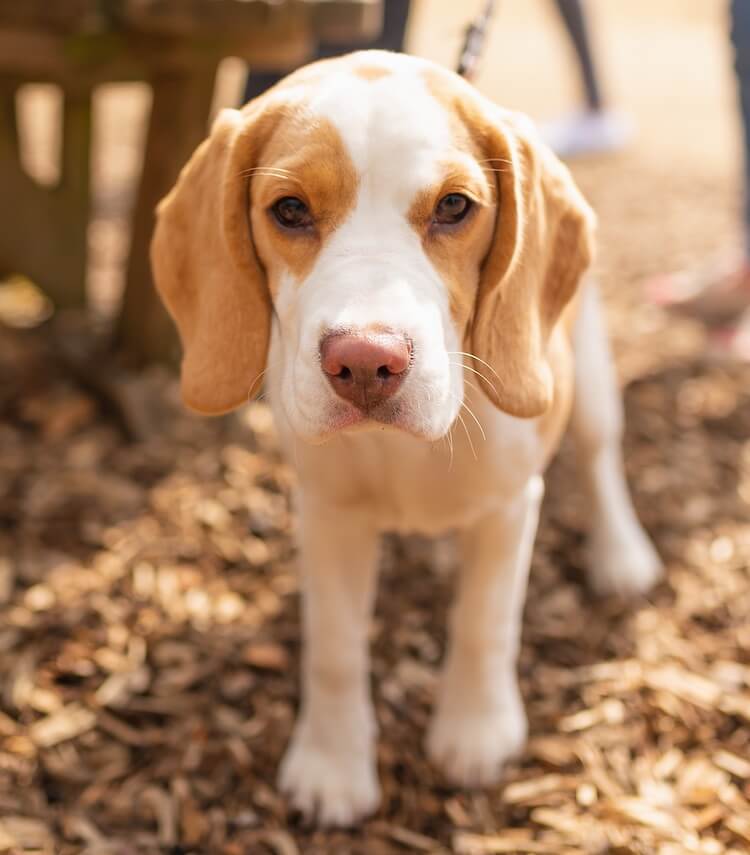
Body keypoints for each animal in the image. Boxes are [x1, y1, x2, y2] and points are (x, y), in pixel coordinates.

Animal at [151, 50, 664, 824]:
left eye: (453, 207)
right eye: (289, 210)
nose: (366, 362)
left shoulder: (511, 505)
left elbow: (484, 622)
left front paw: (475, 733)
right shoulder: (328, 514)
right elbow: (334, 649)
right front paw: (333, 765)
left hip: (592, 372)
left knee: (601, 456)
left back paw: (621, 555)